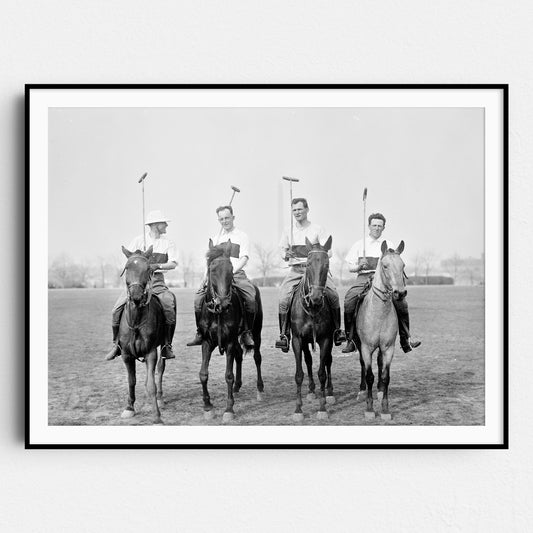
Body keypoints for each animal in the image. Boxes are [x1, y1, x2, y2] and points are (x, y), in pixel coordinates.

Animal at [117, 245, 167, 424]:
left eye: (147, 269)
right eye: (127, 268)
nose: (137, 296)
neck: (136, 320)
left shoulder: (150, 351)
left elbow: (151, 383)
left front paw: (157, 416)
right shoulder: (126, 355)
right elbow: (131, 381)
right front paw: (129, 408)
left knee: (160, 368)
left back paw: (159, 398)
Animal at [196, 239, 262, 422]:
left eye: (231, 269)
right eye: (212, 269)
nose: (224, 303)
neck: (217, 313)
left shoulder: (230, 342)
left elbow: (228, 375)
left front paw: (229, 409)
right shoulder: (207, 342)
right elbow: (203, 374)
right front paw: (207, 407)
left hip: (257, 333)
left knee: (257, 358)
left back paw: (260, 389)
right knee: (239, 356)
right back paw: (237, 387)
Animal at [288, 236, 334, 420]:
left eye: (327, 264)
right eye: (307, 264)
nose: (315, 297)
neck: (312, 309)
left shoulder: (326, 339)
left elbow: (322, 371)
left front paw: (322, 407)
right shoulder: (297, 340)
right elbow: (299, 374)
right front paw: (298, 409)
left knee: (328, 361)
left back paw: (329, 392)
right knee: (307, 360)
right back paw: (311, 390)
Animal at [356, 240, 406, 420]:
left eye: (403, 265)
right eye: (385, 266)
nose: (400, 293)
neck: (379, 314)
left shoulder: (388, 348)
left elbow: (385, 376)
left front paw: (385, 409)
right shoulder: (366, 347)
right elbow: (369, 374)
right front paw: (370, 409)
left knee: (379, 364)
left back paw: (378, 390)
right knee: (363, 365)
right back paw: (362, 391)